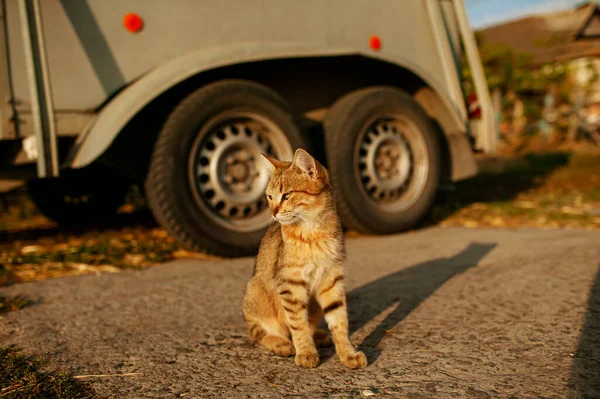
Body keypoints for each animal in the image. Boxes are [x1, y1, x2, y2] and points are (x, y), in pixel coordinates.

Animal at [243, 148, 366, 368]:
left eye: (287, 195)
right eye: (269, 196)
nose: (272, 213)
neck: (313, 232)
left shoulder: (331, 280)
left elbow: (339, 321)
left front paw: (347, 353)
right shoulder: (290, 284)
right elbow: (298, 324)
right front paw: (306, 352)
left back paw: (319, 336)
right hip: (255, 292)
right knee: (260, 332)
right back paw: (281, 343)